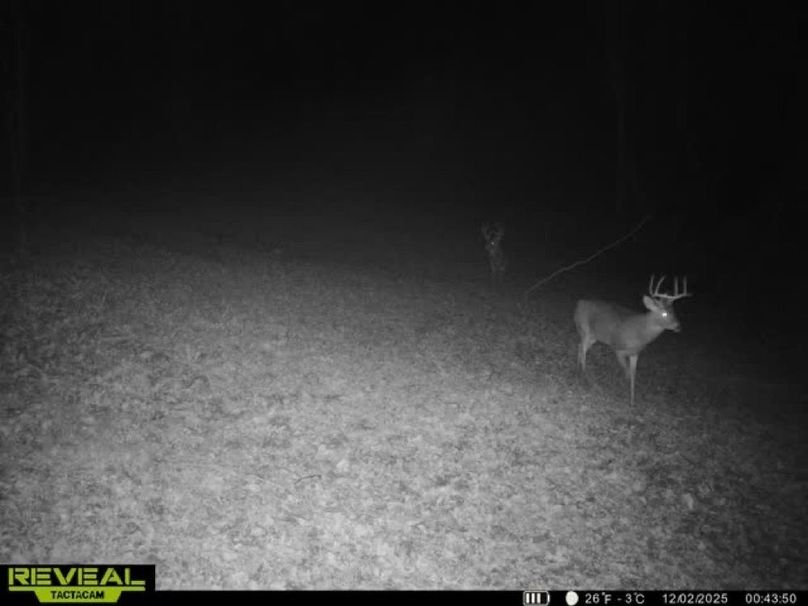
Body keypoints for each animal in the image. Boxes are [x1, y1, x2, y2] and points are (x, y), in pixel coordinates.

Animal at [574, 275, 692, 405]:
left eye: (674, 311)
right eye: (664, 313)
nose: (678, 326)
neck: (640, 334)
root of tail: (579, 302)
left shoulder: (635, 353)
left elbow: (633, 375)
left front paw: (632, 401)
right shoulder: (618, 349)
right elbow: (627, 373)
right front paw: (622, 394)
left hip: (594, 336)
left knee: (580, 345)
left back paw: (579, 369)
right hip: (585, 328)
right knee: (583, 348)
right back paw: (584, 373)